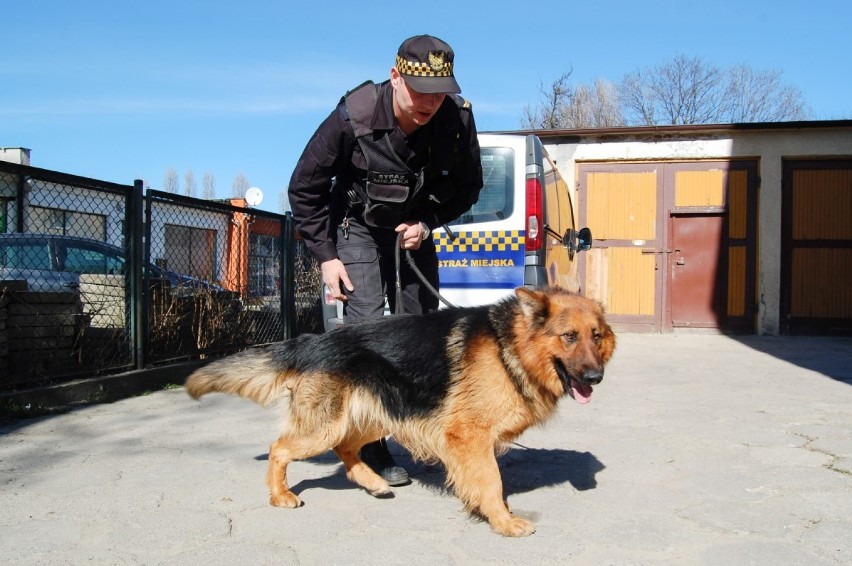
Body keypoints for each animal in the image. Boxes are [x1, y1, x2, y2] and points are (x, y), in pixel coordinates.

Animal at [186, 288, 612, 536]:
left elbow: (484, 479)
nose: (596, 377)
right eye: (569, 337)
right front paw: (502, 521)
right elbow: (492, 481)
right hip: (327, 427)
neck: (510, 346)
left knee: (346, 449)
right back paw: (280, 495)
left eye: (596, 336)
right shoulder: (468, 435)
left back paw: (374, 482)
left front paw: (489, 511)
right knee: (280, 448)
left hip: (374, 417)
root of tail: (309, 341)